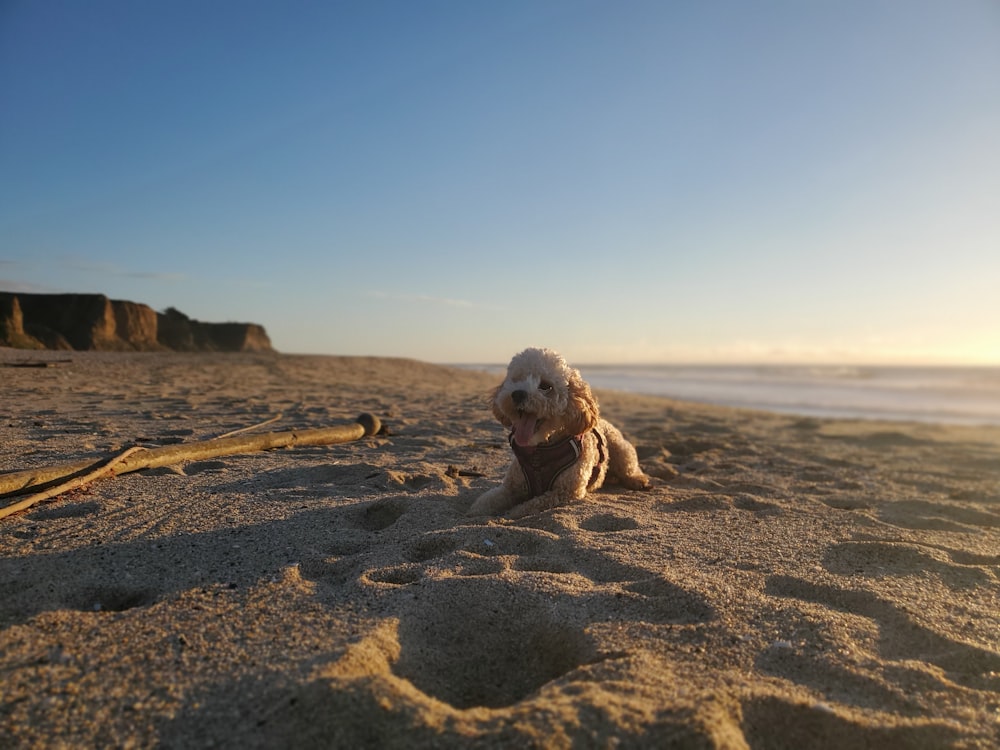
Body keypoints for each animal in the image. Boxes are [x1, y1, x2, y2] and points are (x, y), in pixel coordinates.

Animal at [468, 346, 648, 516]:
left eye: (545, 386)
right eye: (516, 380)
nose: (517, 394)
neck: (540, 451)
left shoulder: (565, 492)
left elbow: (531, 505)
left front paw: (512, 512)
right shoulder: (511, 486)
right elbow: (490, 499)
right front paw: (476, 511)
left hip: (621, 449)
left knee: (630, 468)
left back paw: (638, 480)